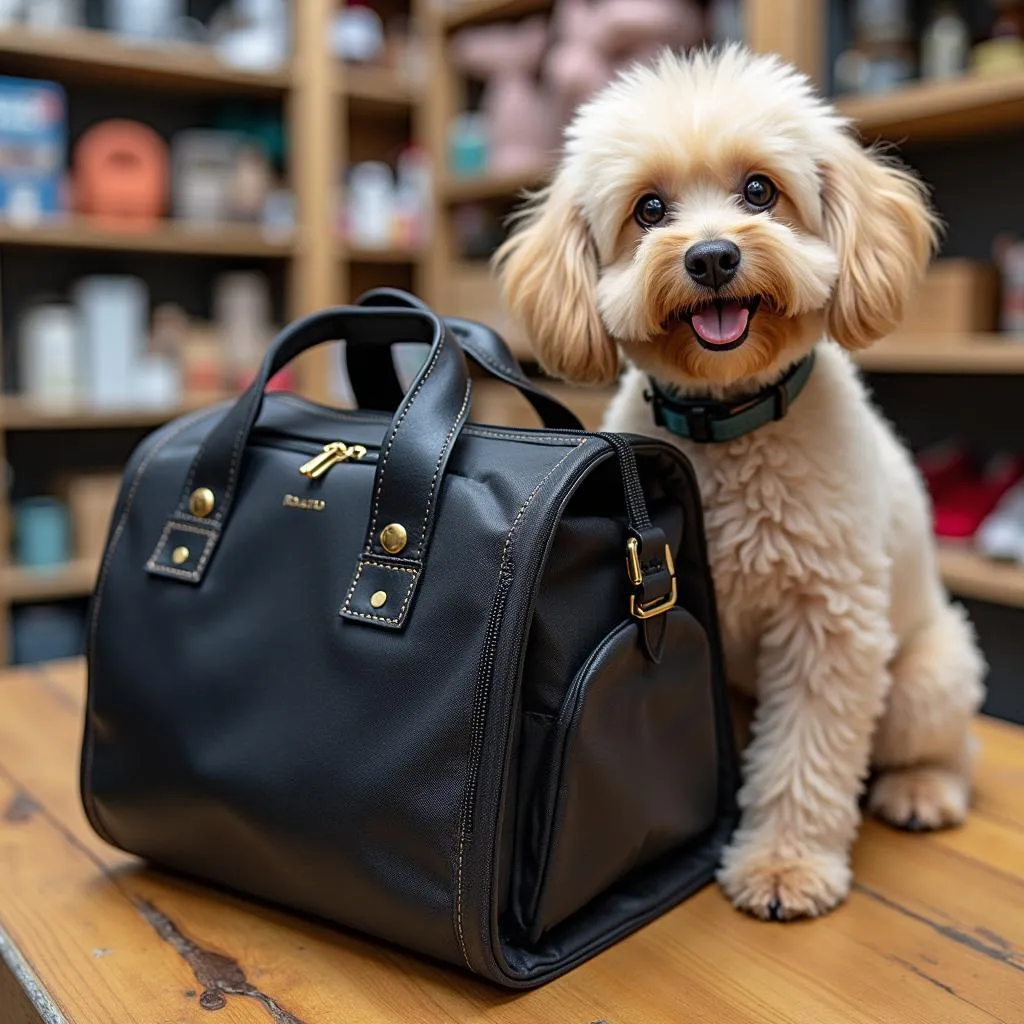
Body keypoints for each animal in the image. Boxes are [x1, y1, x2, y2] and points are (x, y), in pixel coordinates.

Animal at [499, 46, 987, 921]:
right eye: (650, 210)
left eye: (760, 191)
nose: (712, 257)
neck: (728, 425)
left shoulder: (828, 625)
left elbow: (805, 758)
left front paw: (784, 866)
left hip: (924, 680)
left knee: (952, 745)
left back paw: (923, 790)